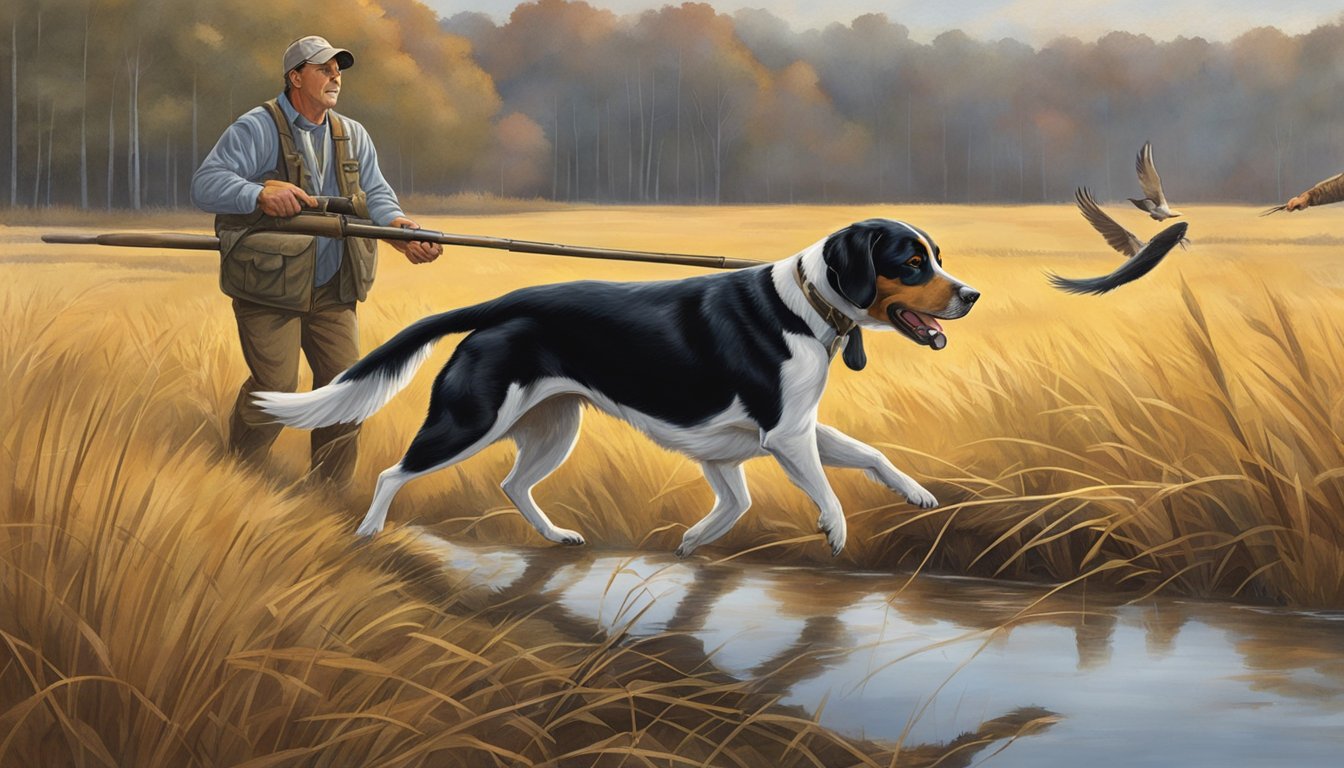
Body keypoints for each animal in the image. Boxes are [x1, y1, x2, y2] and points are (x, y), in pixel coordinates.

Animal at [256, 219, 983, 556]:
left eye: (938, 258)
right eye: (911, 263)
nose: (972, 295)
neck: (805, 303)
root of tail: (501, 304)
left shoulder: (773, 434)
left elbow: (862, 458)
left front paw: (918, 494)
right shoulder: (784, 434)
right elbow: (823, 490)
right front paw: (834, 530)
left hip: (555, 426)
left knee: (513, 484)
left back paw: (556, 537)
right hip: (470, 420)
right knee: (391, 473)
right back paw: (369, 532)